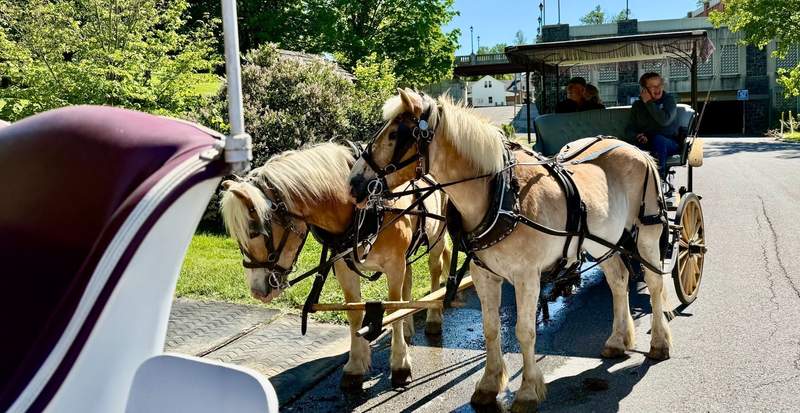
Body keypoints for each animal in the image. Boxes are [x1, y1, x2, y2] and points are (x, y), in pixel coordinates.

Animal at [219, 142, 451, 391]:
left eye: (256, 232)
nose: (257, 291)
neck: (365, 209)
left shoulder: (394, 264)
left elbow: (393, 308)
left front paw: (400, 365)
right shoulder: (344, 267)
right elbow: (355, 313)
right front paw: (355, 365)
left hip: (436, 237)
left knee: (435, 271)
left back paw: (433, 318)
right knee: (408, 284)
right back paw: (407, 329)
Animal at [348, 89, 671, 411]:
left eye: (394, 134)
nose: (354, 184)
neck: (502, 195)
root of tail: (636, 149)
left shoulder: (528, 276)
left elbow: (524, 331)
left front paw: (527, 391)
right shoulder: (484, 275)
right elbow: (491, 329)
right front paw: (489, 386)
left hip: (647, 233)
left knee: (654, 282)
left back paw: (659, 342)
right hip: (603, 242)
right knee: (618, 280)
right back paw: (617, 340)